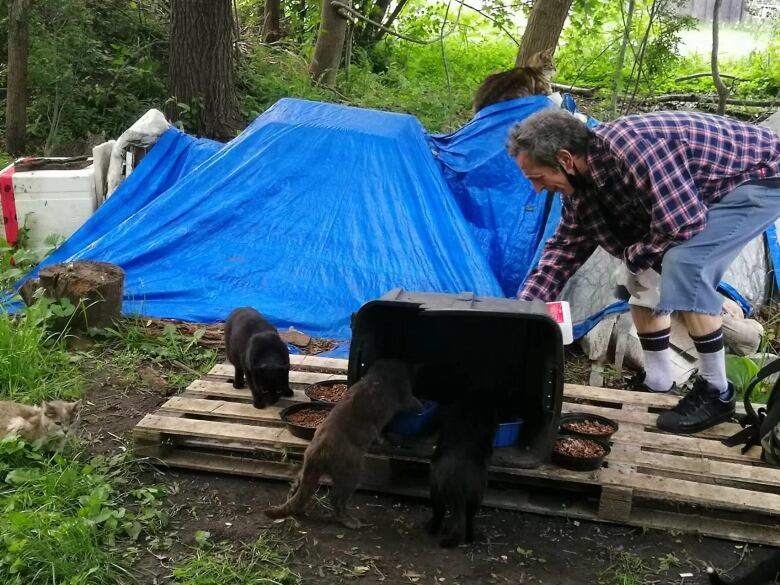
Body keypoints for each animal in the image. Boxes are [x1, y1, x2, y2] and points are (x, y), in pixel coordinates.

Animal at [430, 394, 496, 548]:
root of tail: (457, 480)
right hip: (475, 497)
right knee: (468, 520)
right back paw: (469, 538)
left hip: (438, 491)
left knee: (440, 513)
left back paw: (433, 530)